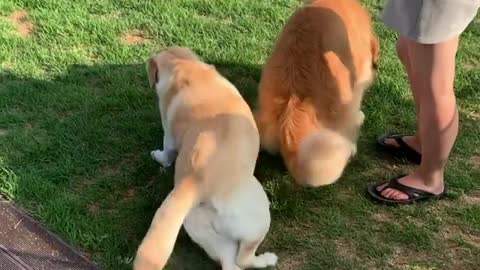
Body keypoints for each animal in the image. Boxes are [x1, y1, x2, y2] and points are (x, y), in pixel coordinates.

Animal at [134, 47, 278, 270]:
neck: (186, 69)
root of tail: (195, 183)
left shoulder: (169, 135)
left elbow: (167, 152)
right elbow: (166, 153)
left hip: (200, 227)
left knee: (232, 262)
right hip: (258, 219)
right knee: (243, 259)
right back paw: (267, 259)